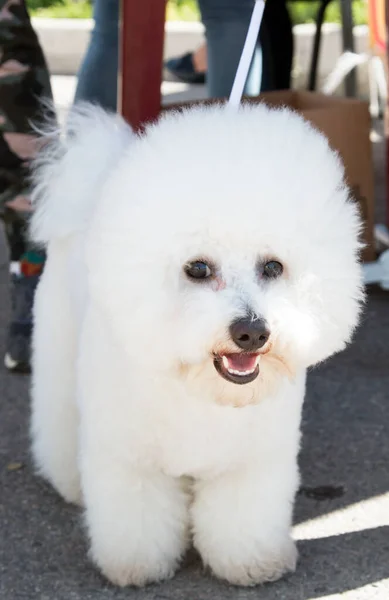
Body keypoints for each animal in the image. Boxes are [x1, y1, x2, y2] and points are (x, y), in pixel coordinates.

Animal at [28, 102, 362, 584]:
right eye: (199, 268)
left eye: (273, 267)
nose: (252, 331)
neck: (201, 389)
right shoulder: (131, 459)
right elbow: (138, 518)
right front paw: (136, 565)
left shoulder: (253, 461)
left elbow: (243, 516)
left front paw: (252, 562)